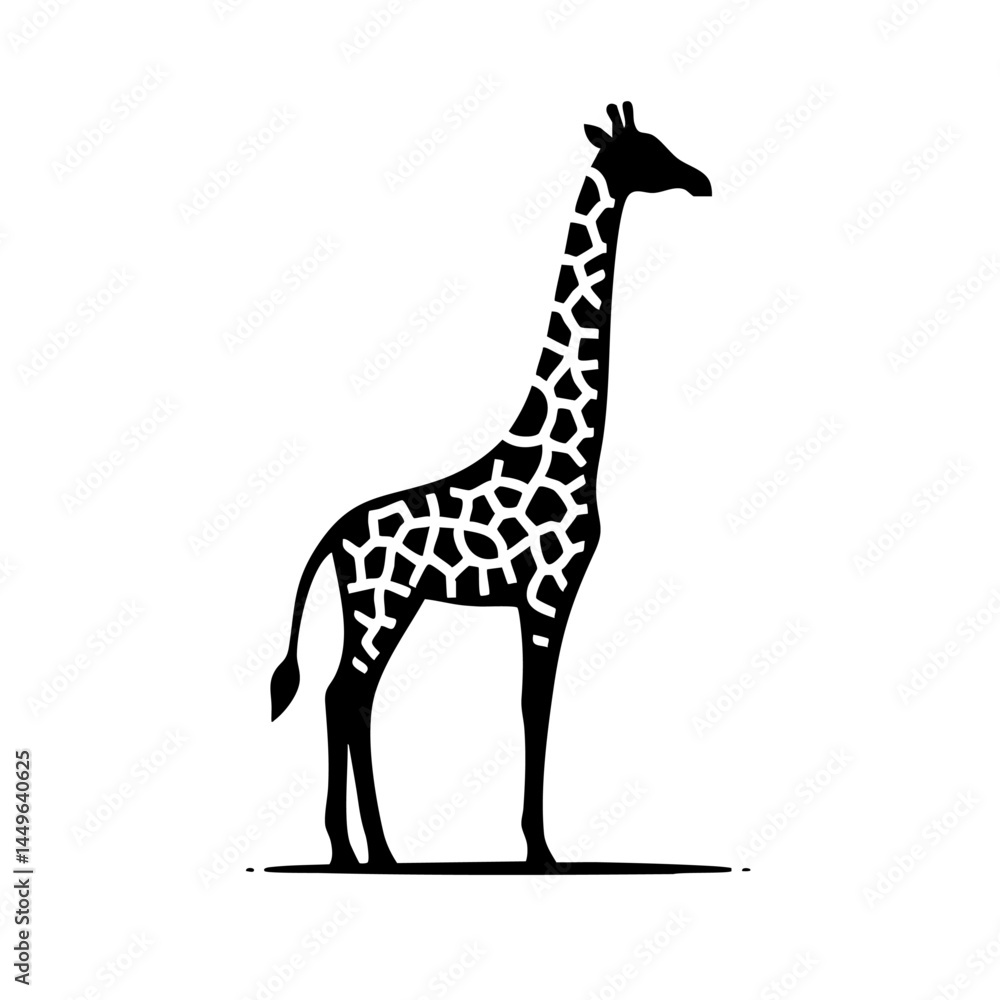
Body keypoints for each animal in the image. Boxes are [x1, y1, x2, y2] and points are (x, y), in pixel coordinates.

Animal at [270, 102, 711, 870]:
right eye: (649, 153)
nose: (702, 180)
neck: (568, 452)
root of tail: (334, 536)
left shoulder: (541, 597)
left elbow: (533, 707)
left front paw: (537, 844)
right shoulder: (547, 593)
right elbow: (536, 706)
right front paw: (541, 849)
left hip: (385, 605)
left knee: (344, 696)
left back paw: (360, 849)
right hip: (383, 603)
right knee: (347, 694)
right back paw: (371, 852)